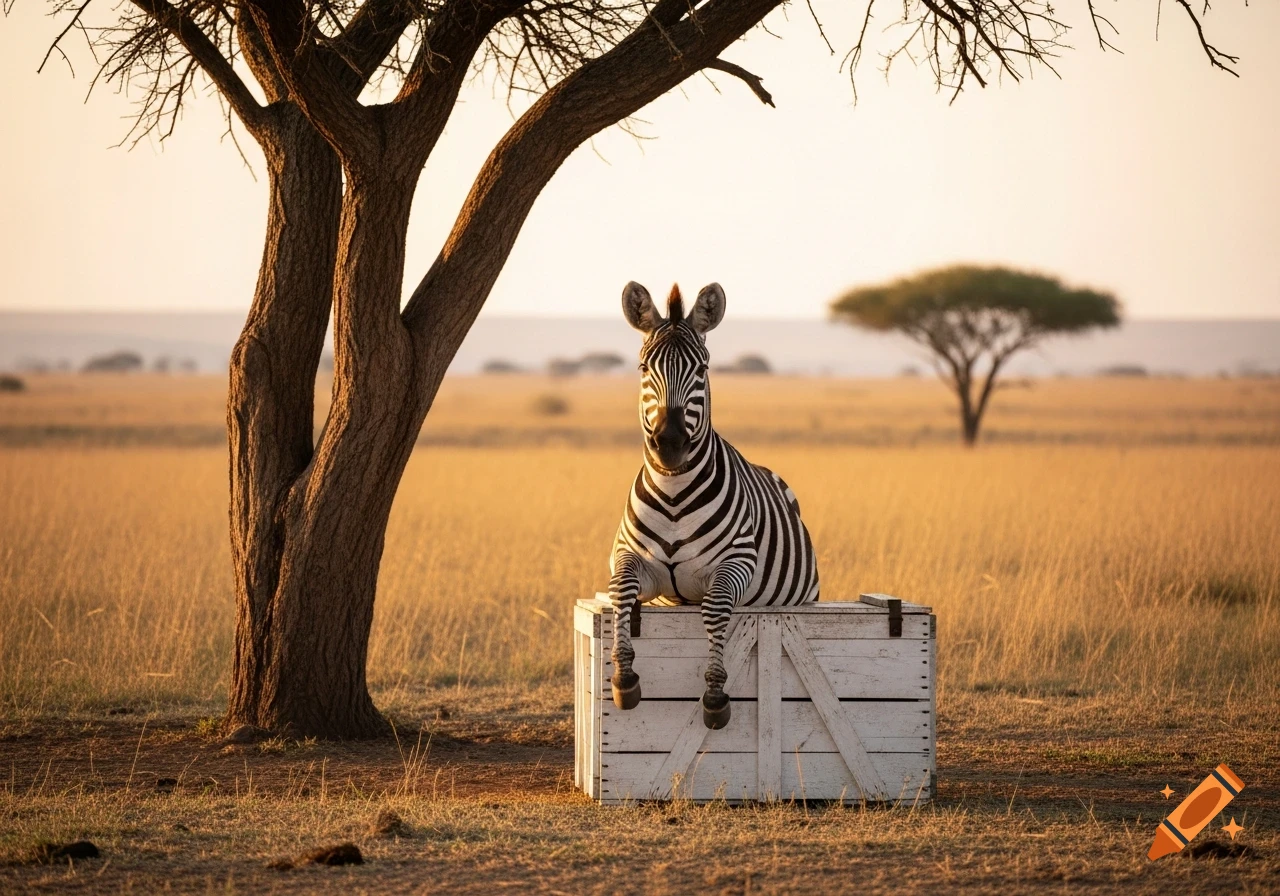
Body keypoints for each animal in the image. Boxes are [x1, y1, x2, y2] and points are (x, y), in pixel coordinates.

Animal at [607, 280, 820, 729]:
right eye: (642, 368)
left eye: (702, 370)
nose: (670, 444)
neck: (673, 492)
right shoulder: (626, 555)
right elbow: (621, 589)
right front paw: (623, 675)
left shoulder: (737, 561)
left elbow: (716, 606)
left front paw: (716, 692)